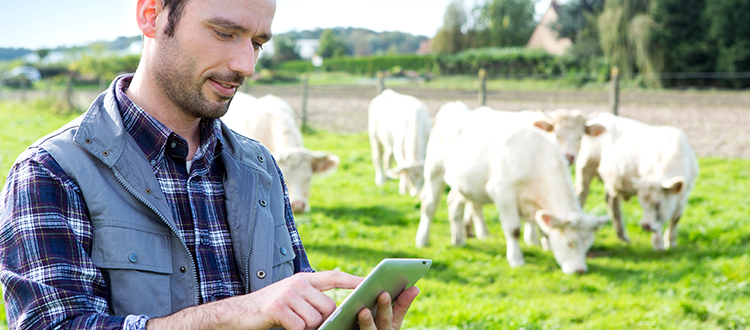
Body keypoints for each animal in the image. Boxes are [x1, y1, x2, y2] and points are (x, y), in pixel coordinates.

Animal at [440, 124, 612, 274]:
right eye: (570, 243)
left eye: (588, 245)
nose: (580, 270)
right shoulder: (502, 192)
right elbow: (514, 230)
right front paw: (516, 260)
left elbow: (543, 229)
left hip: (462, 187)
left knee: (454, 205)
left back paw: (458, 240)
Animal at [576, 113, 704, 250]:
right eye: (642, 203)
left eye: (659, 203)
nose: (645, 226)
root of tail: (598, 115)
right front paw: (658, 245)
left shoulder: (686, 192)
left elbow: (675, 218)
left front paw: (671, 243)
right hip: (584, 168)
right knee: (581, 195)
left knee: (611, 201)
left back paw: (623, 237)